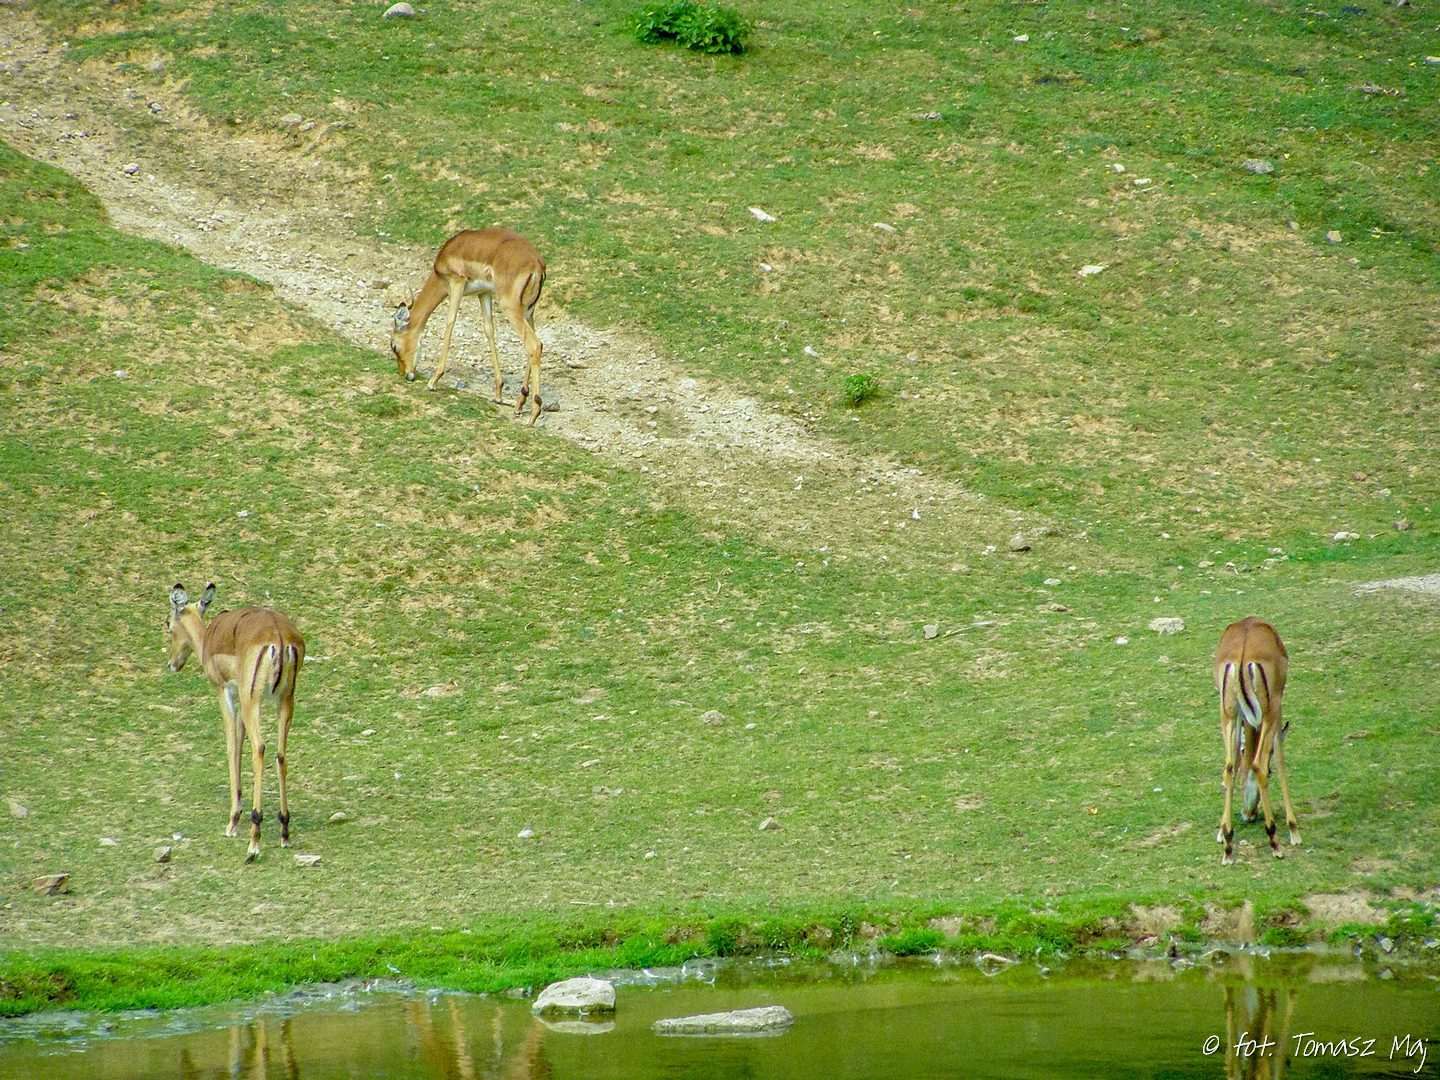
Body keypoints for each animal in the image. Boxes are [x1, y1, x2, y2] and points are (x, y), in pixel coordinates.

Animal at [166, 583, 305, 862]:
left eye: (168, 624)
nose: (172, 664)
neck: (210, 638)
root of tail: (278, 635)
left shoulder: (226, 693)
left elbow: (232, 746)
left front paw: (232, 821)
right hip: (285, 700)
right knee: (281, 754)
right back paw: (284, 831)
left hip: (254, 701)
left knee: (259, 748)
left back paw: (254, 842)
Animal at [389, 228, 548, 424]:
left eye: (394, 346)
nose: (406, 374)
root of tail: (537, 264)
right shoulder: (483, 292)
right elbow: (489, 330)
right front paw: (498, 393)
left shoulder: (457, 282)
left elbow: (450, 321)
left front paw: (433, 381)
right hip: (527, 311)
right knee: (531, 347)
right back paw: (519, 404)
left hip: (510, 307)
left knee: (534, 345)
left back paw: (533, 414)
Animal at [1214, 616, 1300, 864]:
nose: (1248, 814)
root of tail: (1243, 654)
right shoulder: (1278, 707)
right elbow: (1279, 759)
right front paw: (1294, 830)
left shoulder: (1241, 718)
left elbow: (1235, 763)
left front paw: (1221, 834)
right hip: (1270, 711)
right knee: (1258, 764)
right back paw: (1275, 842)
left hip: (1228, 714)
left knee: (1229, 768)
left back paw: (1228, 846)